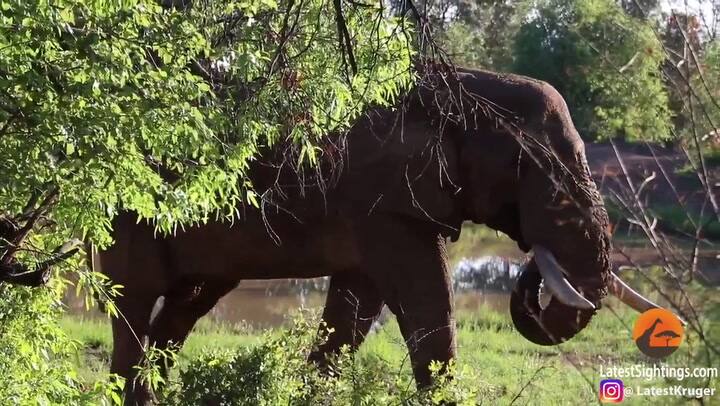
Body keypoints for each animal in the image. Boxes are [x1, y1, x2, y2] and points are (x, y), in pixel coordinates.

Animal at [92, 67, 658, 404]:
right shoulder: (385, 199)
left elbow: (354, 308)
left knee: (186, 306)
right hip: (128, 215)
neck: (460, 85)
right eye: (534, 169)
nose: (534, 262)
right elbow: (424, 294)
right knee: (134, 302)